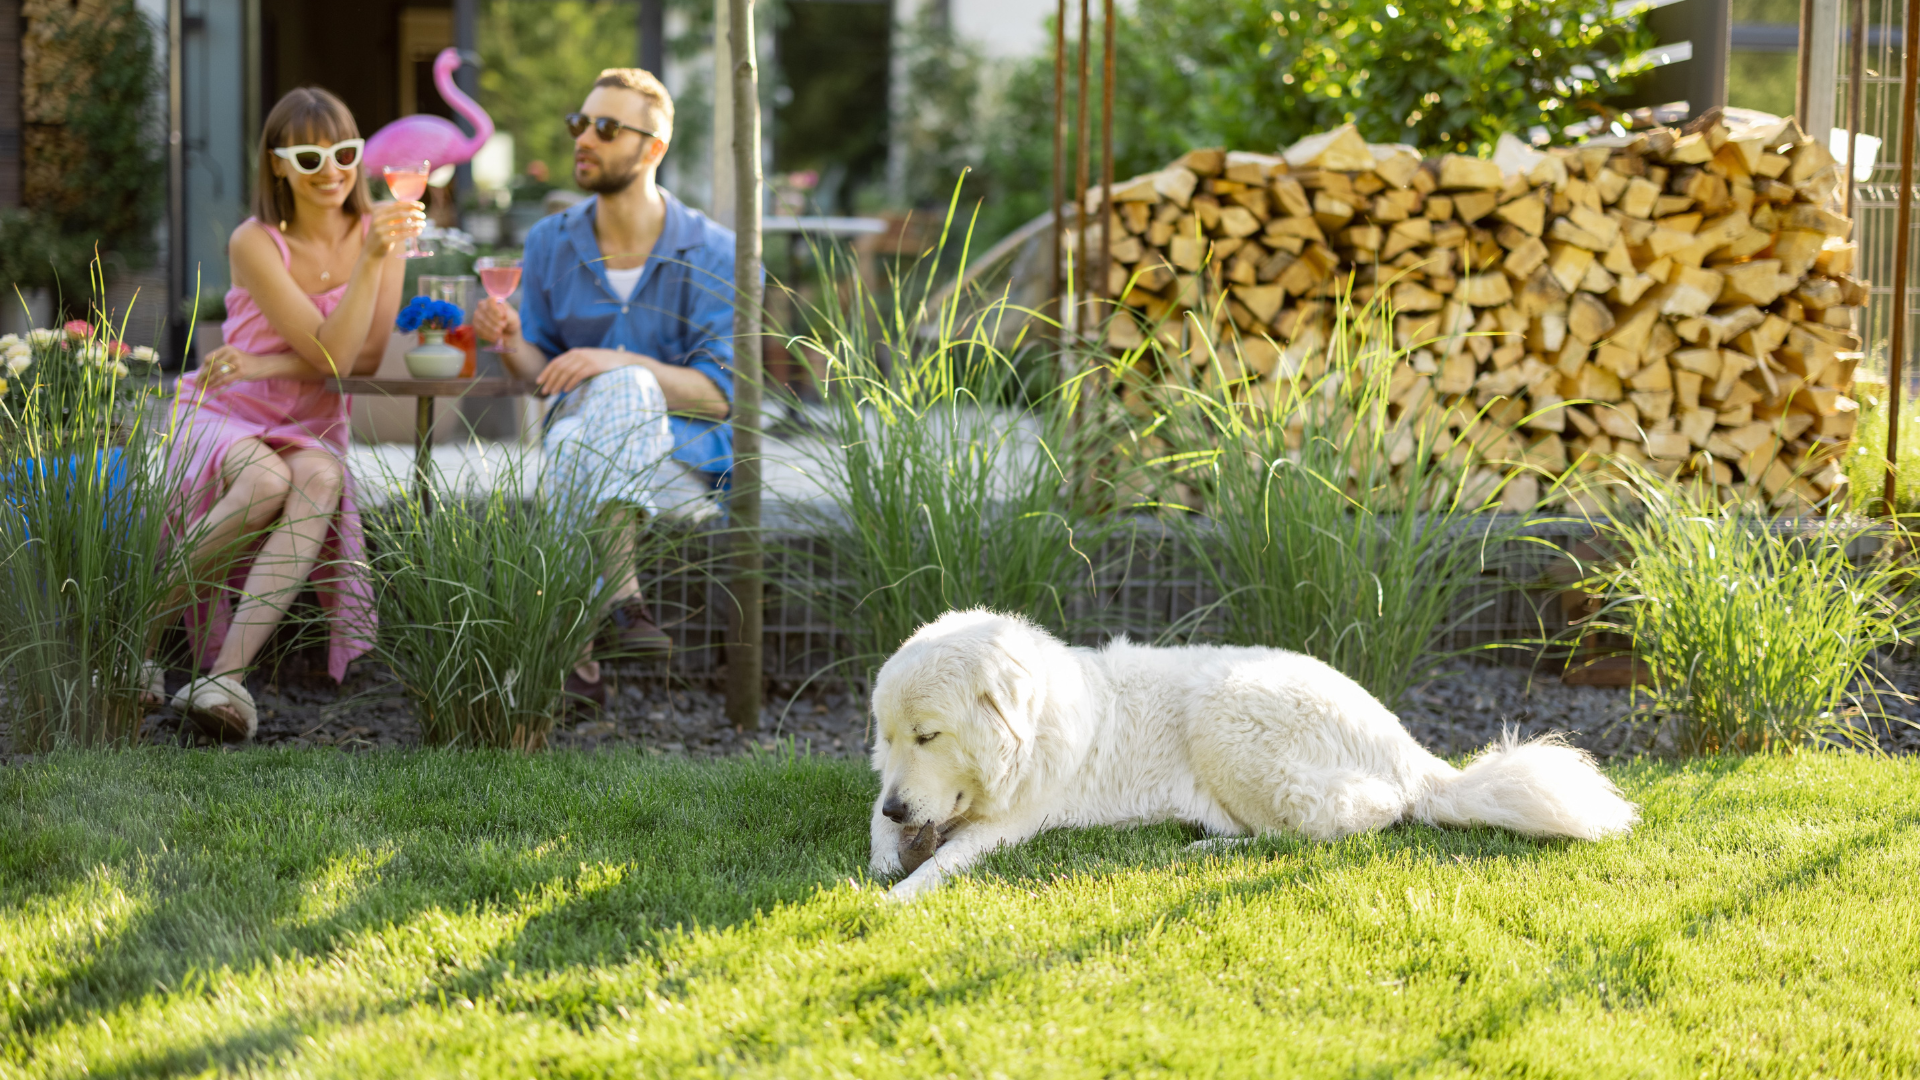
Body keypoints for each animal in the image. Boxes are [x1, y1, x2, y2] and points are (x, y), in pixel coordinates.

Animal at [871, 607, 1635, 899]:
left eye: (929, 735)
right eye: (887, 735)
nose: (900, 806)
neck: (1031, 731)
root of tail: (1407, 749)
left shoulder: (1013, 822)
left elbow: (951, 858)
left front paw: (900, 896)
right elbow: (882, 825)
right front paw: (883, 857)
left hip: (1225, 715)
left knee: (1340, 822)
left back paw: (1204, 849)